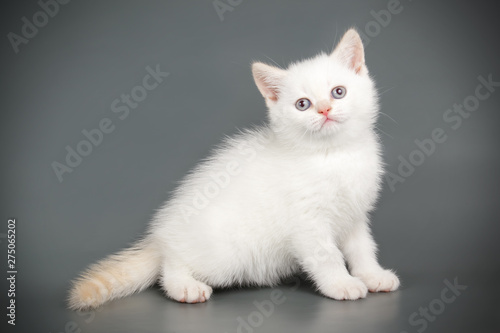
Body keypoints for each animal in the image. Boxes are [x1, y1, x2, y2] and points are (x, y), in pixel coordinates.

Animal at [69, 27, 398, 308]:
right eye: (302, 104)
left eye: (338, 92)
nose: (324, 109)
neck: (333, 155)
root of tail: (162, 235)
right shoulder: (307, 222)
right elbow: (326, 255)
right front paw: (341, 284)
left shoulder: (355, 214)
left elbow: (362, 247)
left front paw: (372, 275)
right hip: (226, 255)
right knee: (171, 263)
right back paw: (184, 286)